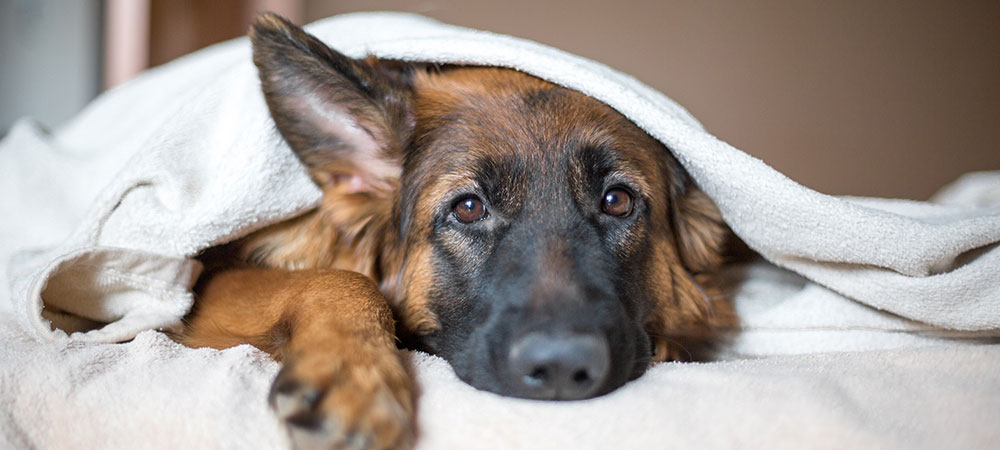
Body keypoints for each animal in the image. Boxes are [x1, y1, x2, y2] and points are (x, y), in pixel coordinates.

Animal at [178, 12, 736, 448]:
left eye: (617, 201)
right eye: (468, 208)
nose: (561, 368)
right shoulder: (206, 286)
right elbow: (341, 279)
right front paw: (354, 374)